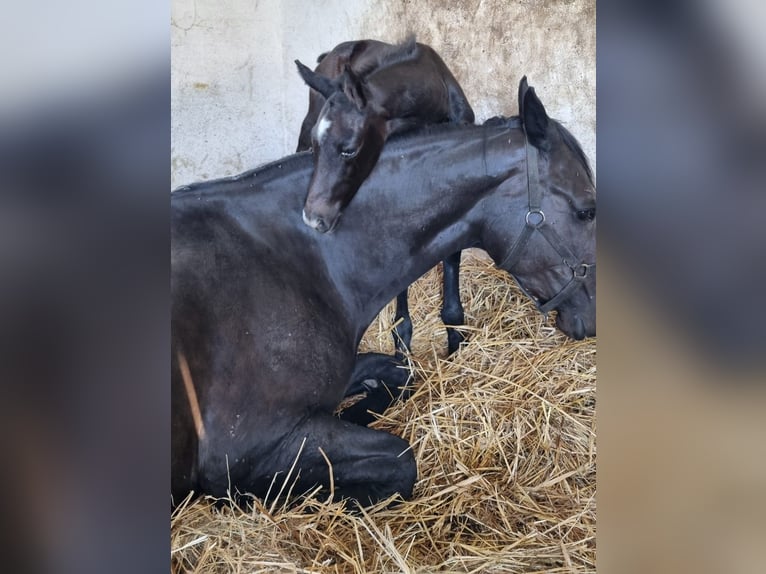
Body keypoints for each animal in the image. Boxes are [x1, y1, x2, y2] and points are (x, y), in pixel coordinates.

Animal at [171, 77, 596, 508]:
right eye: (587, 211)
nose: (594, 318)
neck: (298, 255)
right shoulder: (248, 447)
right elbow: (399, 460)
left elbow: (398, 370)